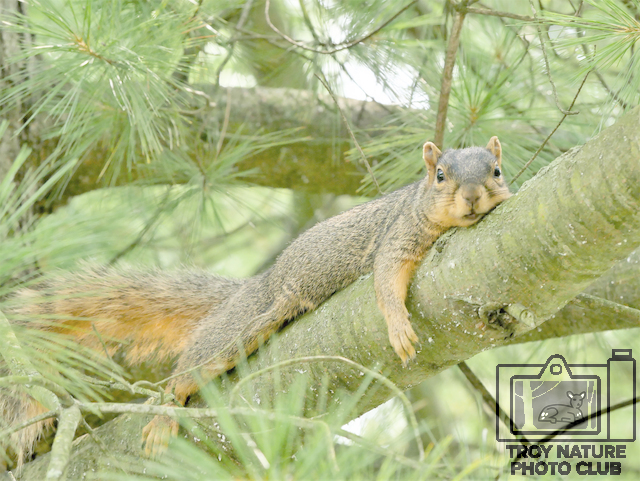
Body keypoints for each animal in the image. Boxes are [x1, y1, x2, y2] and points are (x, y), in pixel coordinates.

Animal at [2, 137, 511, 465]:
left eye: (497, 171)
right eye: (440, 175)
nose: (471, 197)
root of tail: (259, 283)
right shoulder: (398, 237)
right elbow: (386, 280)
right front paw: (400, 326)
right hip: (242, 326)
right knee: (190, 369)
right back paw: (167, 408)